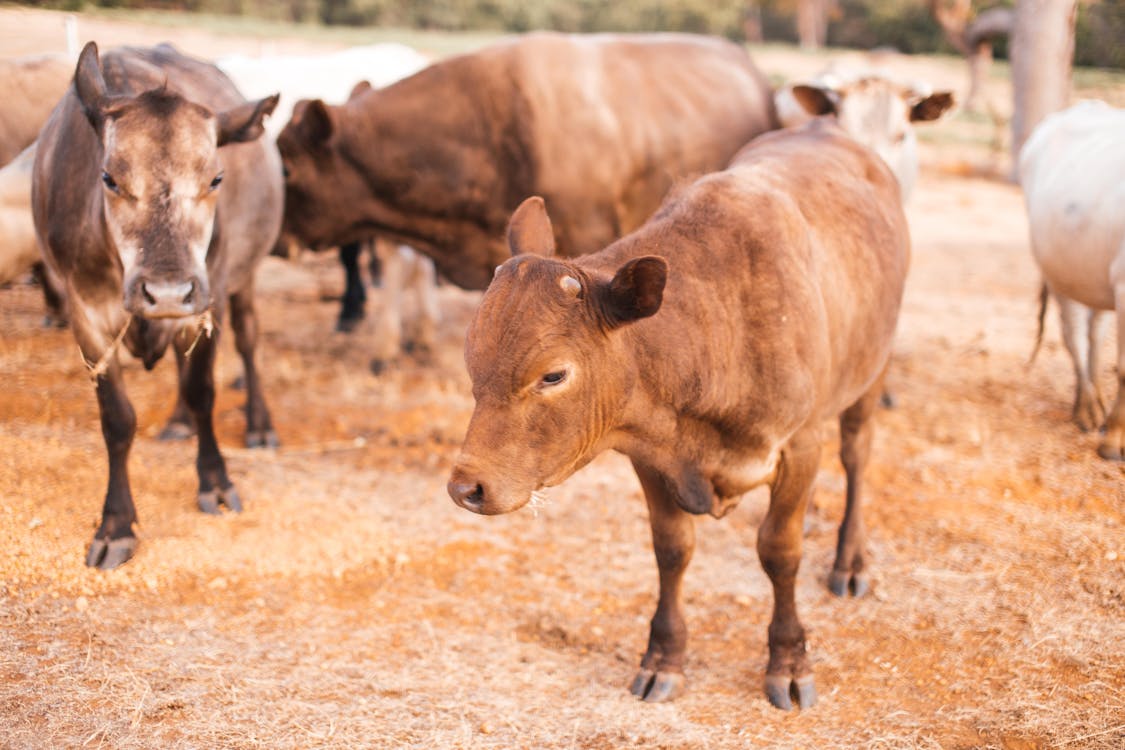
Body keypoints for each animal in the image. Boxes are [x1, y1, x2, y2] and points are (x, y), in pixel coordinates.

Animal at [443, 120, 909, 715]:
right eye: (470, 358)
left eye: (553, 375)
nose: (467, 487)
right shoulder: (649, 454)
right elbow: (671, 550)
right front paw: (663, 657)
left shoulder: (800, 445)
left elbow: (780, 552)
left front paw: (789, 662)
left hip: (871, 373)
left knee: (857, 456)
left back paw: (850, 561)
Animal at [1021, 99, 1125, 461]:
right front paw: (1114, 442)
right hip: (1058, 275)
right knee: (1074, 337)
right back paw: (1086, 409)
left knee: (1094, 336)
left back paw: (1096, 402)